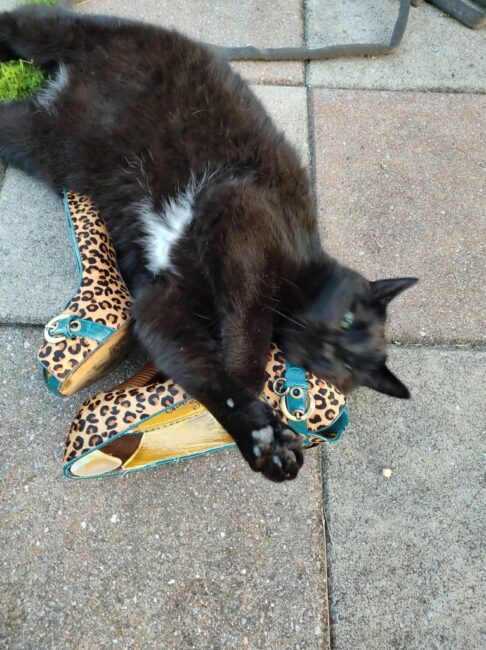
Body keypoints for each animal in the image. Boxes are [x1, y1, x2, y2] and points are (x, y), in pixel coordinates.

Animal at [0, 5, 418, 480]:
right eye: (348, 319)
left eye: (346, 365)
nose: (330, 342)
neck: (300, 268)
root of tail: (61, 83)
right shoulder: (237, 209)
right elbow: (249, 332)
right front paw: (263, 430)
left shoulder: (161, 303)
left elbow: (197, 363)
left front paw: (255, 428)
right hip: (59, 33)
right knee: (25, 22)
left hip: (33, 138)